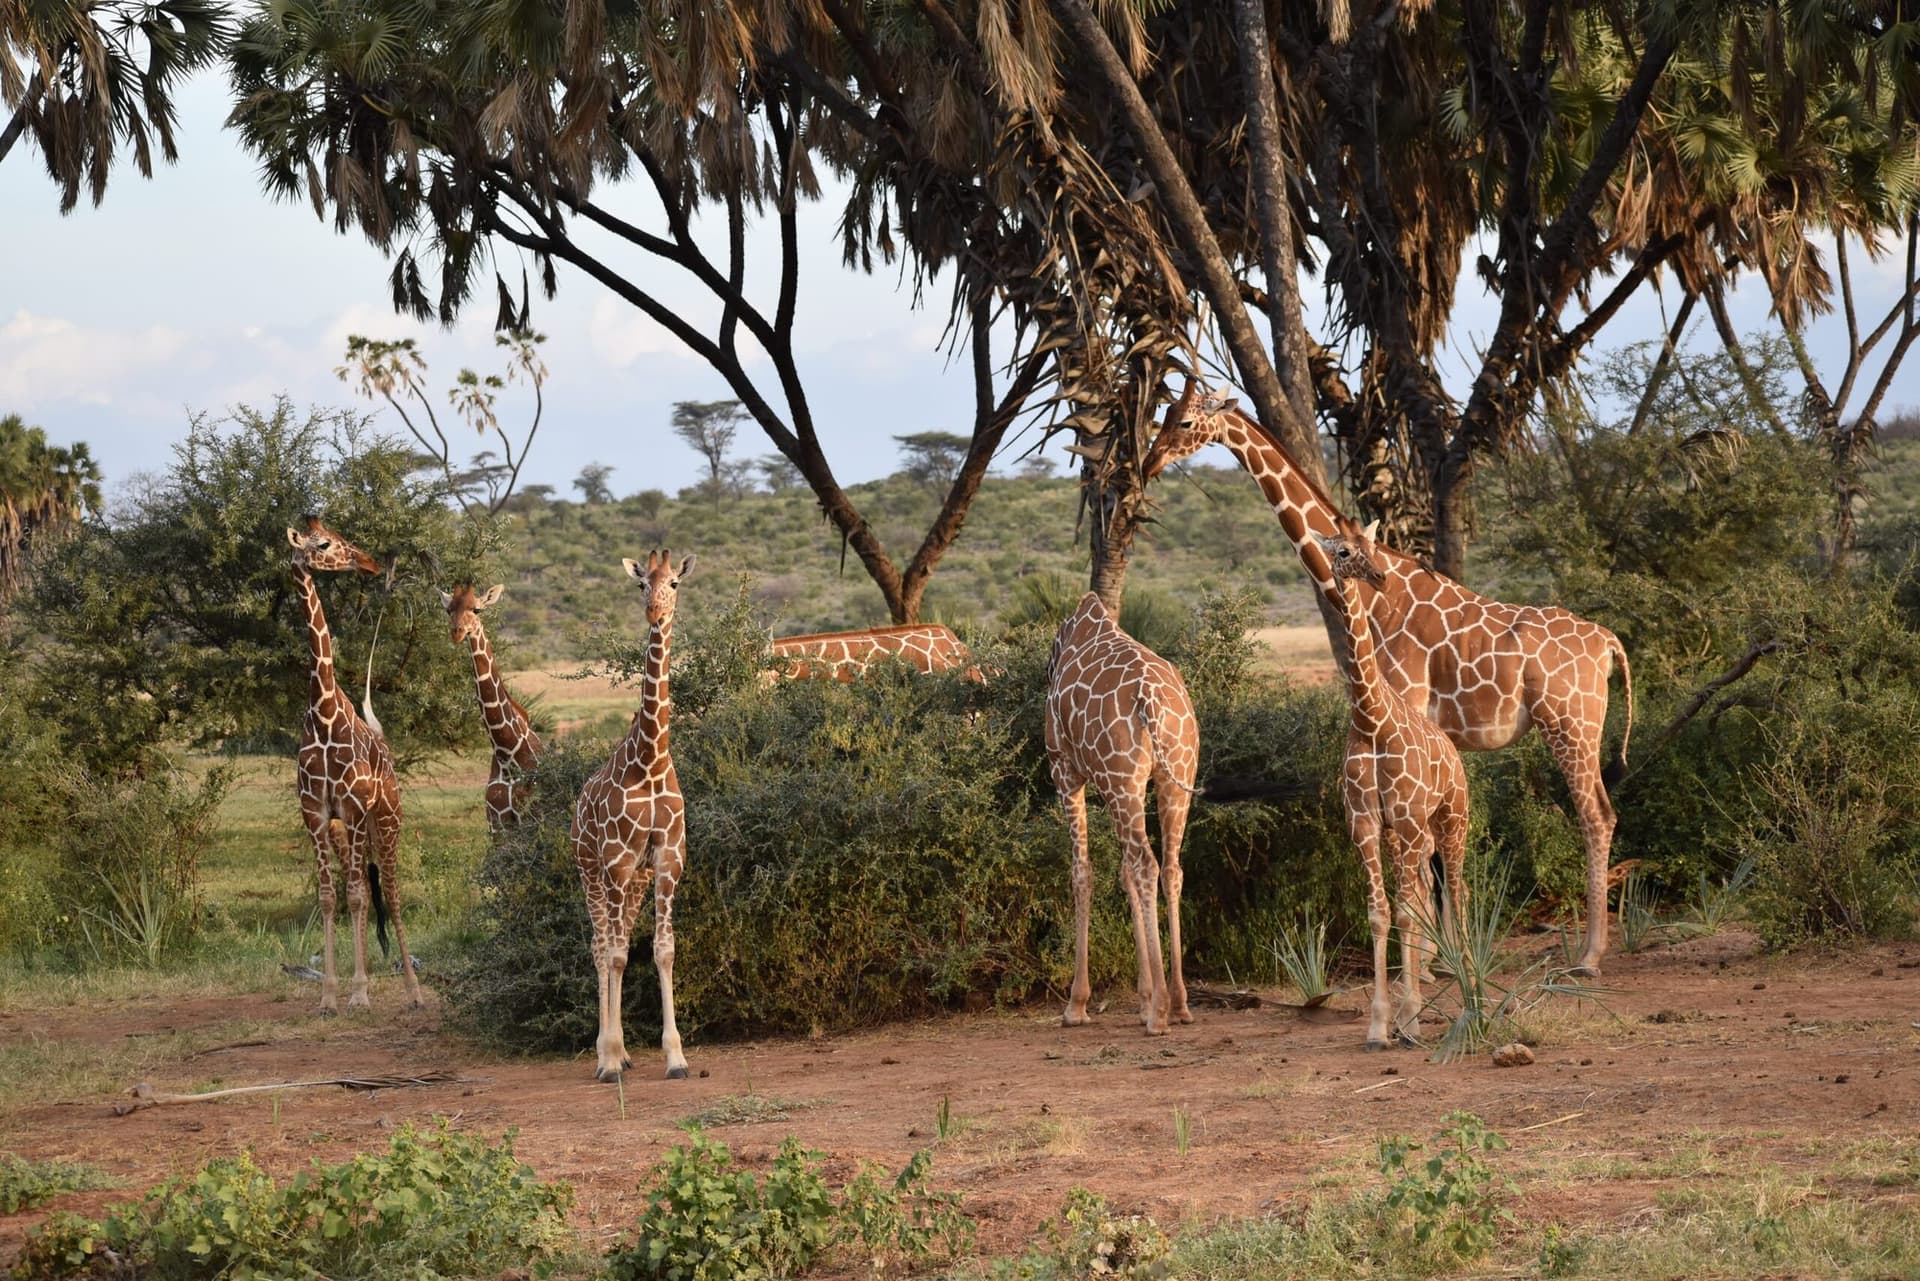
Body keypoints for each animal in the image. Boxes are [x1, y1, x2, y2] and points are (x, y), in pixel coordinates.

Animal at [287, 515, 422, 1014]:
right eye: (324, 544)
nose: (367, 562)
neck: (324, 712)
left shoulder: (356, 809)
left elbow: (361, 898)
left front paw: (360, 992)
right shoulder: (317, 814)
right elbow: (333, 898)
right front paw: (329, 995)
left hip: (387, 819)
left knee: (393, 896)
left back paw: (413, 991)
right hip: (350, 831)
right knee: (362, 888)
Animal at [442, 583, 543, 831]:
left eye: (477, 609)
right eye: (449, 610)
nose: (457, 632)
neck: (508, 754)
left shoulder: (533, 819)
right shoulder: (497, 824)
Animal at [1045, 593, 1200, 1035]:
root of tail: (1151, 701)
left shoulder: (1065, 769)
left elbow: (1082, 872)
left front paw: (1076, 1005)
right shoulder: (1115, 783)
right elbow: (1124, 873)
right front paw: (1144, 999)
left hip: (1122, 776)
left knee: (1146, 864)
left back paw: (1161, 1012)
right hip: (1172, 774)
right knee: (1169, 868)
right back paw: (1178, 1003)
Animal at [1150, 385, 1633, 975]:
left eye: (1185, 421)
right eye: (1164, 414)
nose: (1151, 461)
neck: (1378, 598)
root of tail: (1607, 643)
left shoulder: (1406, 710)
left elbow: (1419, 859)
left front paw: (1426, 961)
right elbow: (1430, 857)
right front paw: (1440, 957)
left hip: (1570, 724)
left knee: (1597, 816)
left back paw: (1589, 955)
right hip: (1576, 726)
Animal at [1310, 525, 1469, 1049]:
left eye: (1374, 548)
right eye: (1342, 551)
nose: (1379, 576)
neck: (1372, 719)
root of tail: (1455, 754)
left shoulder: (1406, 817)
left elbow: (1404, 913)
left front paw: (1411, 1018)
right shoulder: (1365, 823)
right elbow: (1381, 913)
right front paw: (1383, 1024)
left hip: (1451, 820)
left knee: (1456, 889)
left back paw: (1470, 984)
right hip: (1411, 834)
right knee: (1422, 894)